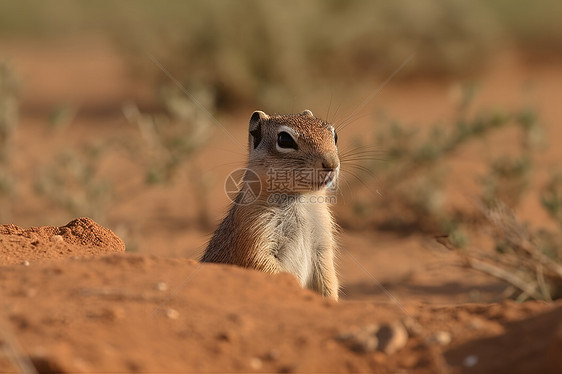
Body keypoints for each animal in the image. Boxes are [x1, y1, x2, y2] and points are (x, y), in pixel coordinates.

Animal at [202, 109, 342, 300]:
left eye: (334, 136)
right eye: (284, 139)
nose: (332, 164)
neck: (298, 199)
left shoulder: (322, 244)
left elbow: (328, 276)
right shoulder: (254, 231)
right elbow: (265, 266)